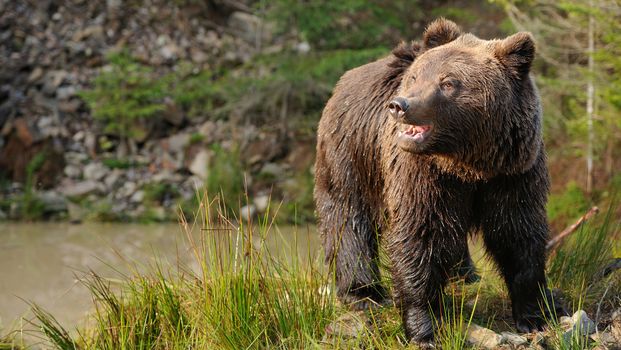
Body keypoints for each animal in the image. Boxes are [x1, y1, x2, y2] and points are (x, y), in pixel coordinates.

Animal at [314, 17, 568, 344]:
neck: (470, 163)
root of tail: (345, 80)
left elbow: (517, 235)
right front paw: (423, 327)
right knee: (347, 217)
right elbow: (419, 236)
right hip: (351, 153)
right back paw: (362, 292)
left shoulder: (513, 173)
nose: (400, 105)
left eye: (448, 83)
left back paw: (465, 273)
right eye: (415, 77)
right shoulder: (423, 175)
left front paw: (534, 315)